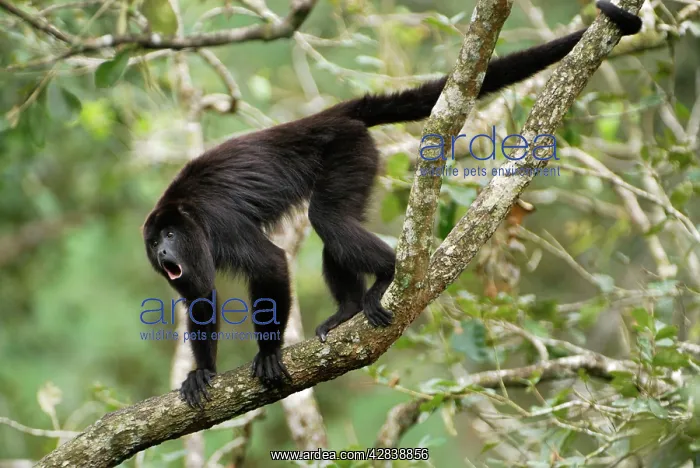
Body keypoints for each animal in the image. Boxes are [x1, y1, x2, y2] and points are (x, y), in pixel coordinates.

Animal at [142, 1, 641, 408]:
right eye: (154, 243)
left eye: (169, 234)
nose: (163, 251)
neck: (187, 216)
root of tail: (334, 116)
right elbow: (200, 297)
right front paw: (203, 371)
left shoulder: (219, 224)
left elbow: (269, 262)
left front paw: (268, 352)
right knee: (336, 222)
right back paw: (347, 308)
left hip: (349, 151)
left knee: (327, 218)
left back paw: (387, 276)